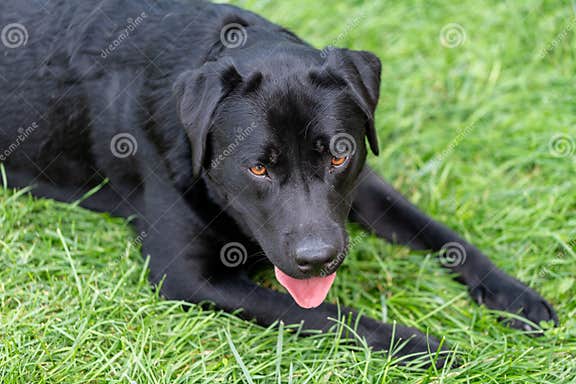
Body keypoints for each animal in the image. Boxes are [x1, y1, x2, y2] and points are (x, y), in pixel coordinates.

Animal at [0, 0, 560, 366]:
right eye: (258, 168)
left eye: (339, 155)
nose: (318, 259)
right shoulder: (186, 277)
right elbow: (330, 314)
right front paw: (424, 346)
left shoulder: (363, 187)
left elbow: (440, 233)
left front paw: (515, 296)